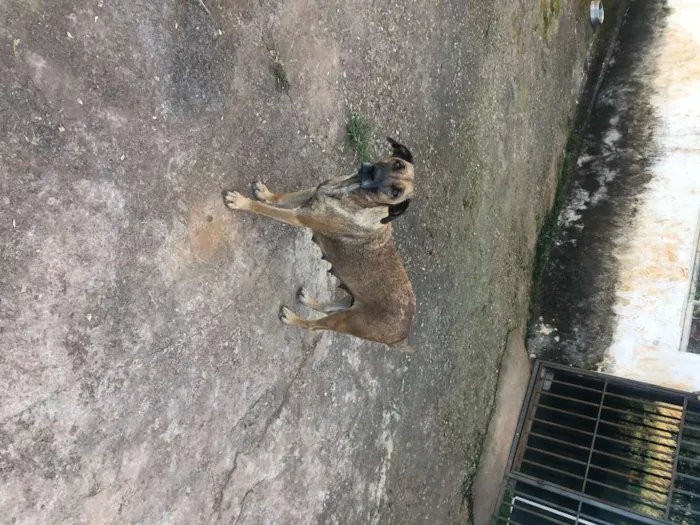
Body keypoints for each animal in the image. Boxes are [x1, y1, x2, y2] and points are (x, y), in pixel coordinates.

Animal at [221, 138, 412, 348]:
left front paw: (242, 202)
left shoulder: (297, 217)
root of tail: (401, 336)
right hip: (350, 302)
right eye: (397, 164)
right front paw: (266, 194)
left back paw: (292, 318)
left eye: (395, 192)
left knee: (315, 326)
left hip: (347, 321)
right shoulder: (312, 192)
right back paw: (308, 301)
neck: (351, 193)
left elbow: (264, 208)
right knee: (328, 307)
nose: (370, 172)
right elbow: (282, 197)